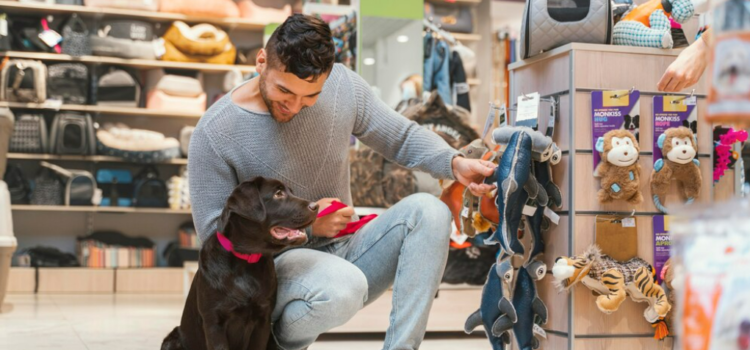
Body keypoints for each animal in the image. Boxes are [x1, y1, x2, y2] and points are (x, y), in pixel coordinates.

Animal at [162, 178, 318, 350]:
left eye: (291, 192)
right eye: (278, 194)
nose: (316, 206)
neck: (246, 259)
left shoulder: (263, 319)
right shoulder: (214, 322)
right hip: (172, 339)